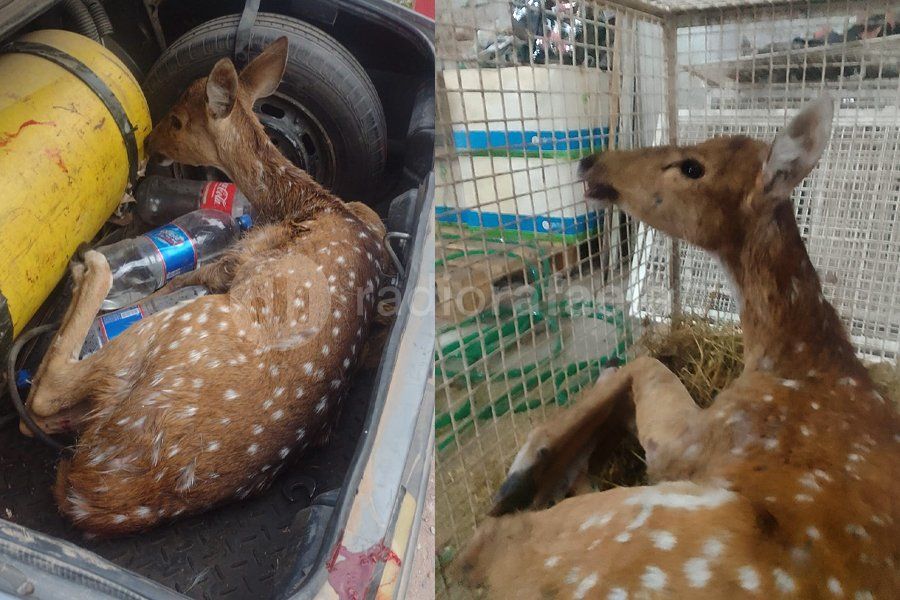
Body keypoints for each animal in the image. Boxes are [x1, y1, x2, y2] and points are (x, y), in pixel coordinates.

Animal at [20, 37, 390, 536]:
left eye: (178, 120)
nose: (149, 141)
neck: (307, 203)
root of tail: (89, 493)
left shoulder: (240, 259)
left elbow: (185, 276)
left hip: (182, 330)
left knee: (47, 393)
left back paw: (92, 268)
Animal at [455, 97, 899, 598]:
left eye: (692, 166)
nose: (591, 161)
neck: (796, 354)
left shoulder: (698, 443)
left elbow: (645, 361)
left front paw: (538, 456)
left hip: (634, 524)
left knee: (483, 544)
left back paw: (523, 482)